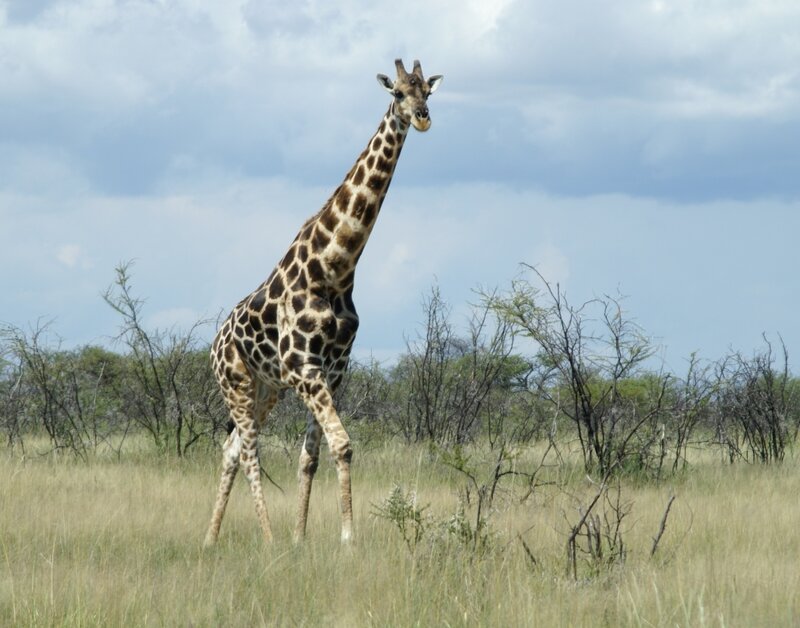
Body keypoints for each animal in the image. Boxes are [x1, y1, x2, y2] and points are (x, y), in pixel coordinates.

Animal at [204, 59, 443, 546]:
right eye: (398, 93)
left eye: (428, 91)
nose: (424, 117)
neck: (335, 269)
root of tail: (214, 344)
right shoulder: (305, 368)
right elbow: (342, 443)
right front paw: (346, 538)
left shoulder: (331, 373)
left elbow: (311, 455)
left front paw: (302, 537)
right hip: (235, 383)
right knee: (250, 450)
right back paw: (267, 537)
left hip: (266, 387)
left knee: (232, 447)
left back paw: (211, 539)